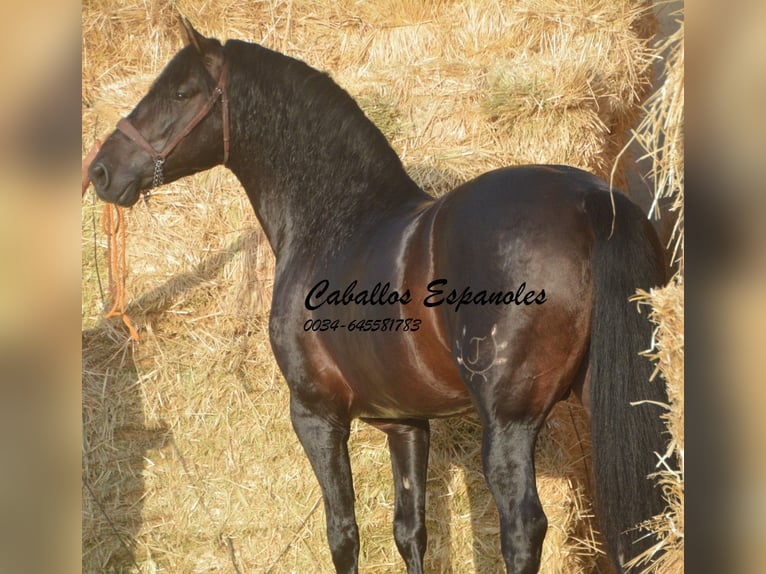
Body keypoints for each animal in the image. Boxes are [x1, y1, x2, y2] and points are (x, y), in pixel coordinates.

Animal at [88, 19, 672, 574]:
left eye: (181, 93)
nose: (101, 170)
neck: (336, 221)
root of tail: (590, 201)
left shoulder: (316, 415)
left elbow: (343, 534)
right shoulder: (405, 422)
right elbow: (409, 531)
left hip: (509, 421)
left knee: (523, 529)